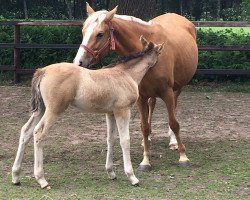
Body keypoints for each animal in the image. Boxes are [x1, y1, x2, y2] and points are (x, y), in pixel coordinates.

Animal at [12, 38, 164, 189]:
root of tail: (43, 71)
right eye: (159, 53)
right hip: (54, 110)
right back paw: (42, 180)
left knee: (25, 131)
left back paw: (16, 176)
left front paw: (111, 172)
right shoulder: (123, 111)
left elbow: (111, 139)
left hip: (41, 109)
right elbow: (125, 141)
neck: (126, 74)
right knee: (38, 133)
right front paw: (132, 177)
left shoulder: (110, 113)